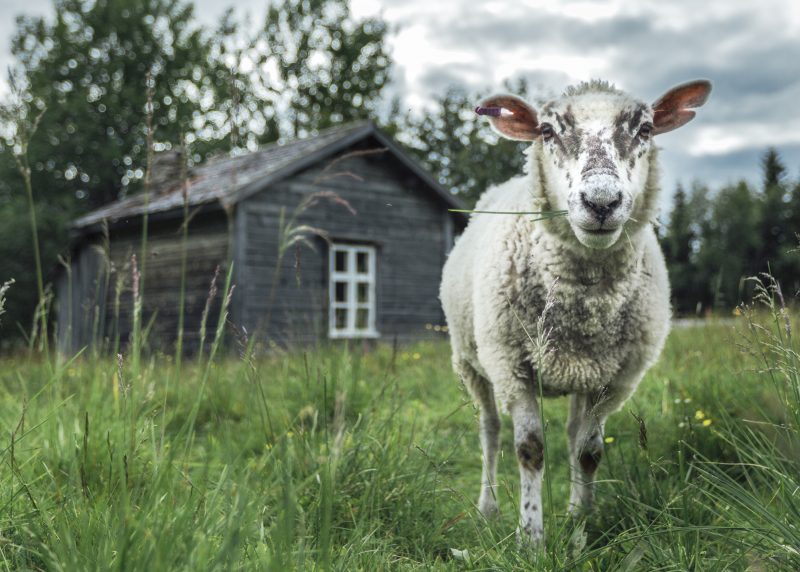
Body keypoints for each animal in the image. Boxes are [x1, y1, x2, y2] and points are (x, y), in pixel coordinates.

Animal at [444, 78, 712, 544]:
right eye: (547, 130)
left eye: (645, 128)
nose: (601, 202)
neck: (583, 308)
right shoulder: (512, 365)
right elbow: (529, 449)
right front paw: (530, 537)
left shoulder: (614, 378)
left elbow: (588, 451)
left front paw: (582, 522)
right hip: (471, 362)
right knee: (490, 432)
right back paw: (488, 509)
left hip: (581, 374)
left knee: (571, 436)